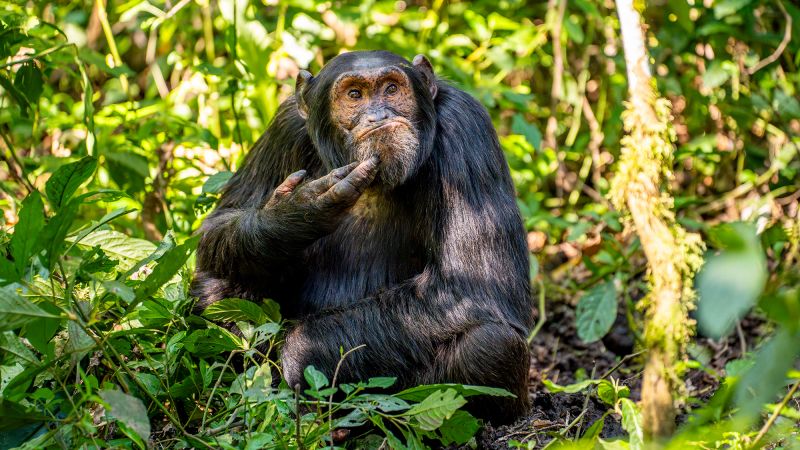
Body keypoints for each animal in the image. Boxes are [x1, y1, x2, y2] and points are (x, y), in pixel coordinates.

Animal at [191, 51, 536, 424]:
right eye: (354, 95)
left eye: (391, 89)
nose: (379, 115)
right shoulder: (284, 127)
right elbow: (219, 223)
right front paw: (293, 213)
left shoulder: (466, 127)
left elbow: (473, 284)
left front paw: (300, 353)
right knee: (215, 287)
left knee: (490, 343)